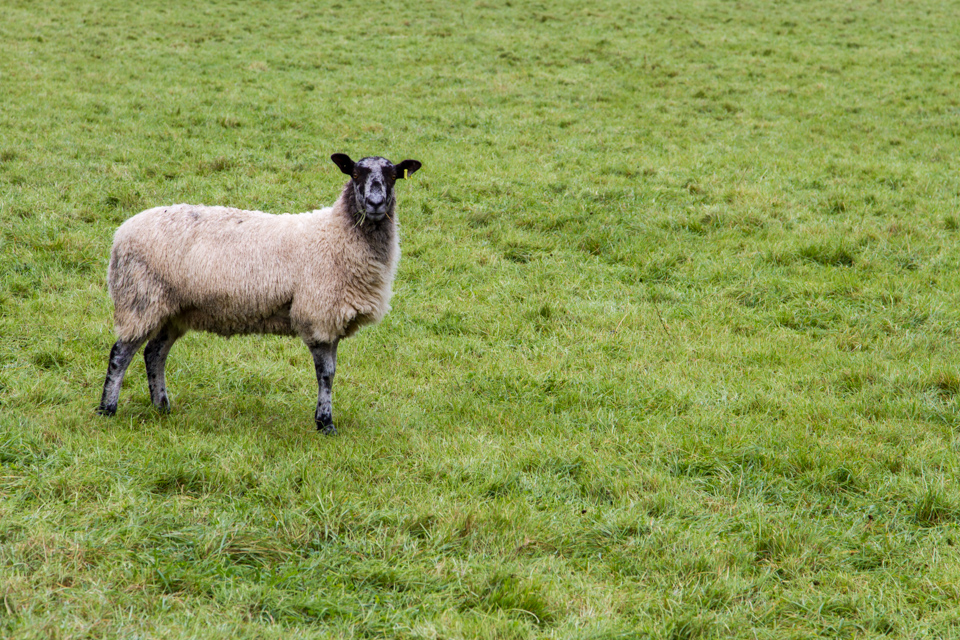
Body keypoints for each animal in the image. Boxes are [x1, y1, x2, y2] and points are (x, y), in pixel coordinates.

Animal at [96, 153, 422, 435]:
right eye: (355, 174)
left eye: (393, 176)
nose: (375, 203)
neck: (337, 234)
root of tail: (121, 233)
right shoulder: (318, 314)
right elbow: (326, 374)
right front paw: (325, 424)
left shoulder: (330, 318)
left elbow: (331, 373)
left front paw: (324, 420)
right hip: (139, 299)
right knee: (121, 354)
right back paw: (107, 409)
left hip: (173, 309)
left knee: (155, 353)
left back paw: (162, 407)